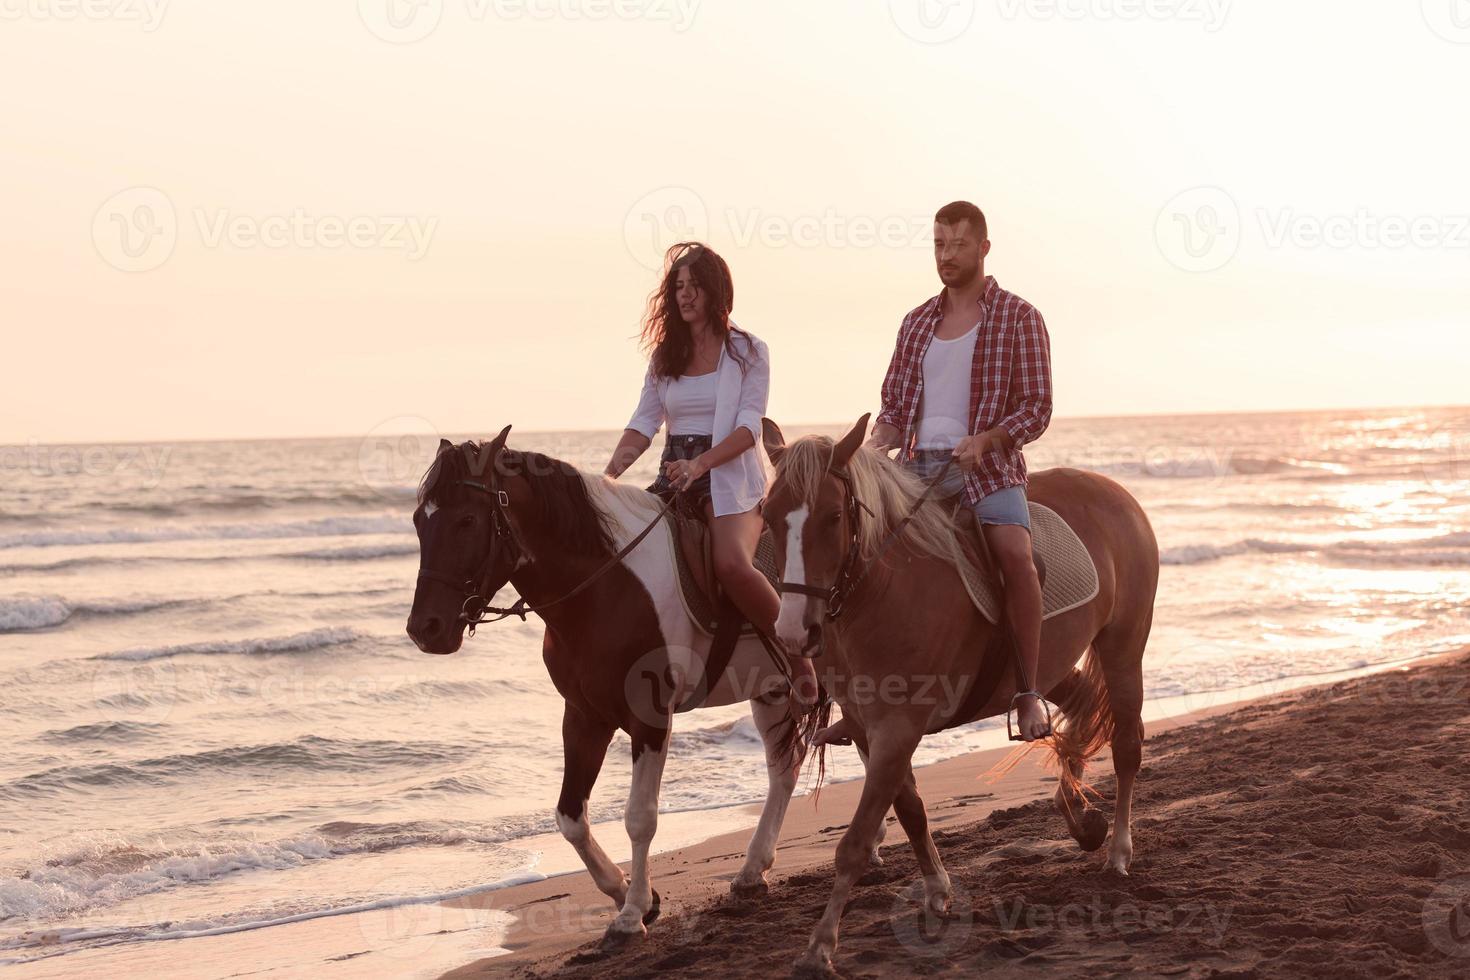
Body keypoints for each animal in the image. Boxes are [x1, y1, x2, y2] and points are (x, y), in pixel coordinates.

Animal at [405, 431, 817, 952]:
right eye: (419, 521)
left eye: (467, 520)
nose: (425, 629)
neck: (605, 586)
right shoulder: (584, 716)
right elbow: (570, 817)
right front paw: (631, 894)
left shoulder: (651, 716)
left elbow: (640, 817)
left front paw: (631, 914)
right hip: (772, 691)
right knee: (784, 769)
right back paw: (751, 872)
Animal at [758, 417, 1158, 975]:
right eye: (769, 516)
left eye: (834, 516)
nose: (795, 632)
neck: (883, 591)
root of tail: (1116, 493)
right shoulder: (866, 729)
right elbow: (910, 809)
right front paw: (937, 890)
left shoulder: (898, 727)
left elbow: (855, 843)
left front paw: (820, 946)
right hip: (1055, 663)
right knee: (1079, 712)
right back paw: (1078, 816)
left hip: (1123, 649)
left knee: (1125, 747)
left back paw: (1118, 849)